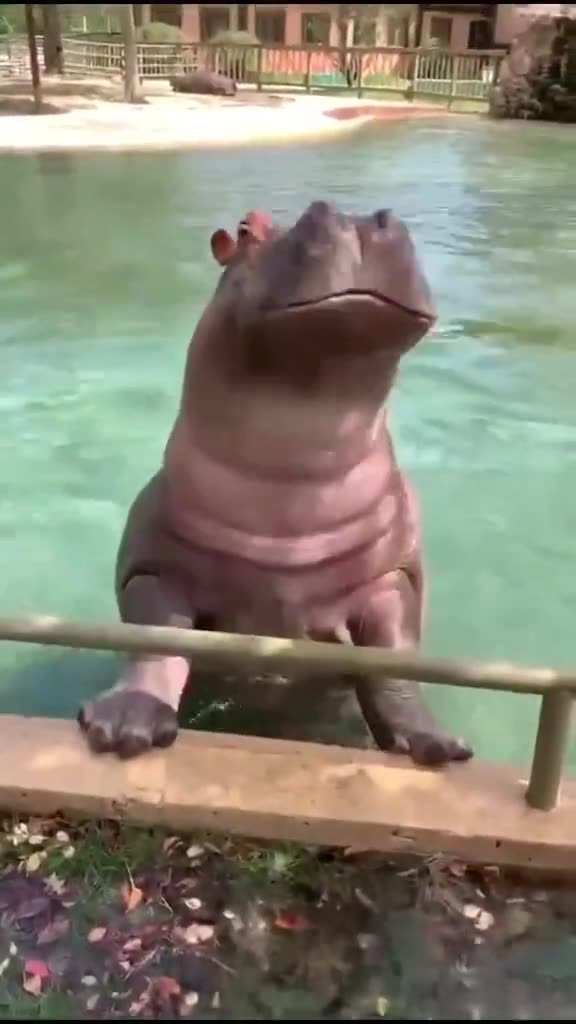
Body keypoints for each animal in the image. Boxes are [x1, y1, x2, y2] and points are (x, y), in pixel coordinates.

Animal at [78, 202, 473, 767]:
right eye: (247, 230)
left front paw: (436, 746)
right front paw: (124, 726)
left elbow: (392, 662)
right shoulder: (153, 567)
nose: (358, 220)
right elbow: (156, 642)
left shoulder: (392, 575)